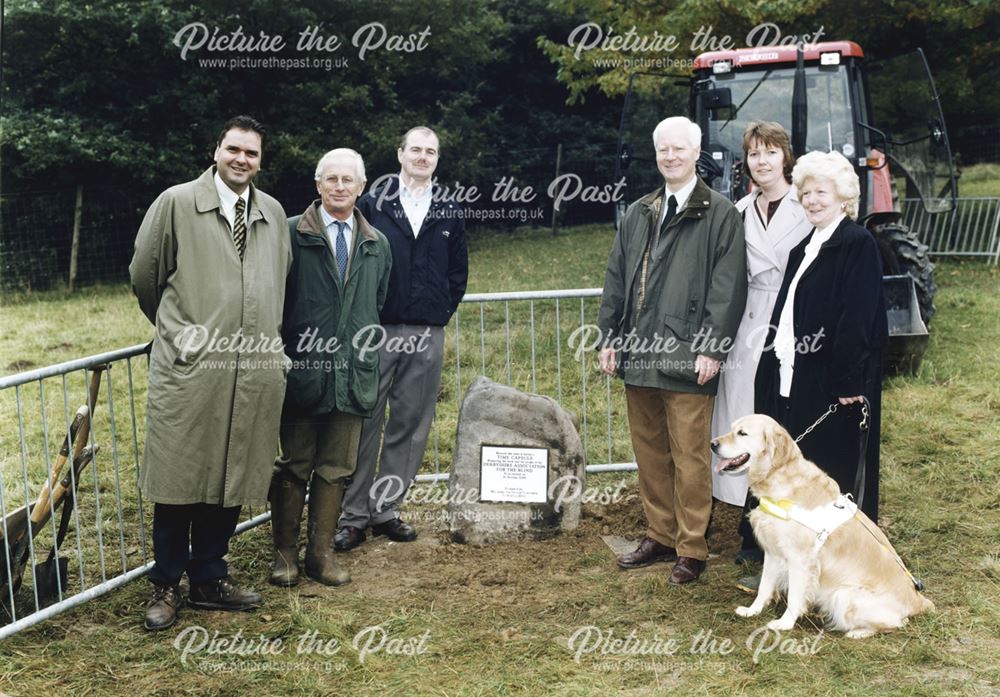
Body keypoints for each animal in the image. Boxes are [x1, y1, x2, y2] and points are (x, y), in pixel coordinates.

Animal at [712, 414, 928, 636]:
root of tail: (919, 600)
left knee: (897, 623)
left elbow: (795, 596)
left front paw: (784, 623)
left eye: (742, 433)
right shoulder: (773, 552)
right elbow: (764, 586)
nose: (712, 444)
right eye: (731, 428)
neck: (779, 480)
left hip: (844, 595)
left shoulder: (800, 559)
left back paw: (857, 632)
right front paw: (752, 610)